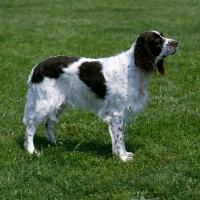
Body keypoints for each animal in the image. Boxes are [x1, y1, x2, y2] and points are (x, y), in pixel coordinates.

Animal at [23, 30, 178, 161]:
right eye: (157, 40)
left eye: (162, 36)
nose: (176, 43)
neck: (133, 66)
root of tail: (37, 68)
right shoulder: (117, 113)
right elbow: (119, 137)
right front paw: (122, 158)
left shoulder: (121, 113)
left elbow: (120, 136)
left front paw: (122, 153)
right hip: (46, 104)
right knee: (30, 126)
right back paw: (31, 150)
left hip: (59, 104)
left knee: (49, 123)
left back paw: (54, 144)